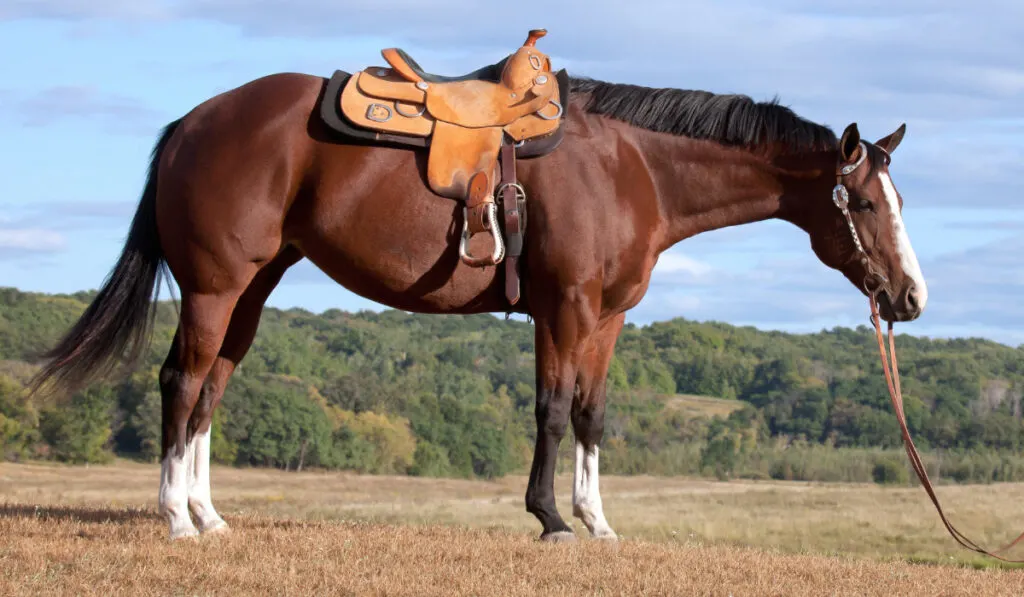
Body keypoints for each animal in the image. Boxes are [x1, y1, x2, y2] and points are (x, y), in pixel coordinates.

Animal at [29, 39, 929, 540]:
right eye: (866, 203)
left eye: (899, 200)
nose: (911, 298)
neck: (630, 167)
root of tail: (194, 121)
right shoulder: (563, 308)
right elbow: (552, 410)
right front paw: (551, 518)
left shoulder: (607, 318)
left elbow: (591, 415)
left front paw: (599, 521)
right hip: (214, 287)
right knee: (181, 382)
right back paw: (175, 518)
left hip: (251, 291)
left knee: (212, 387)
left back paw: (210, 516)